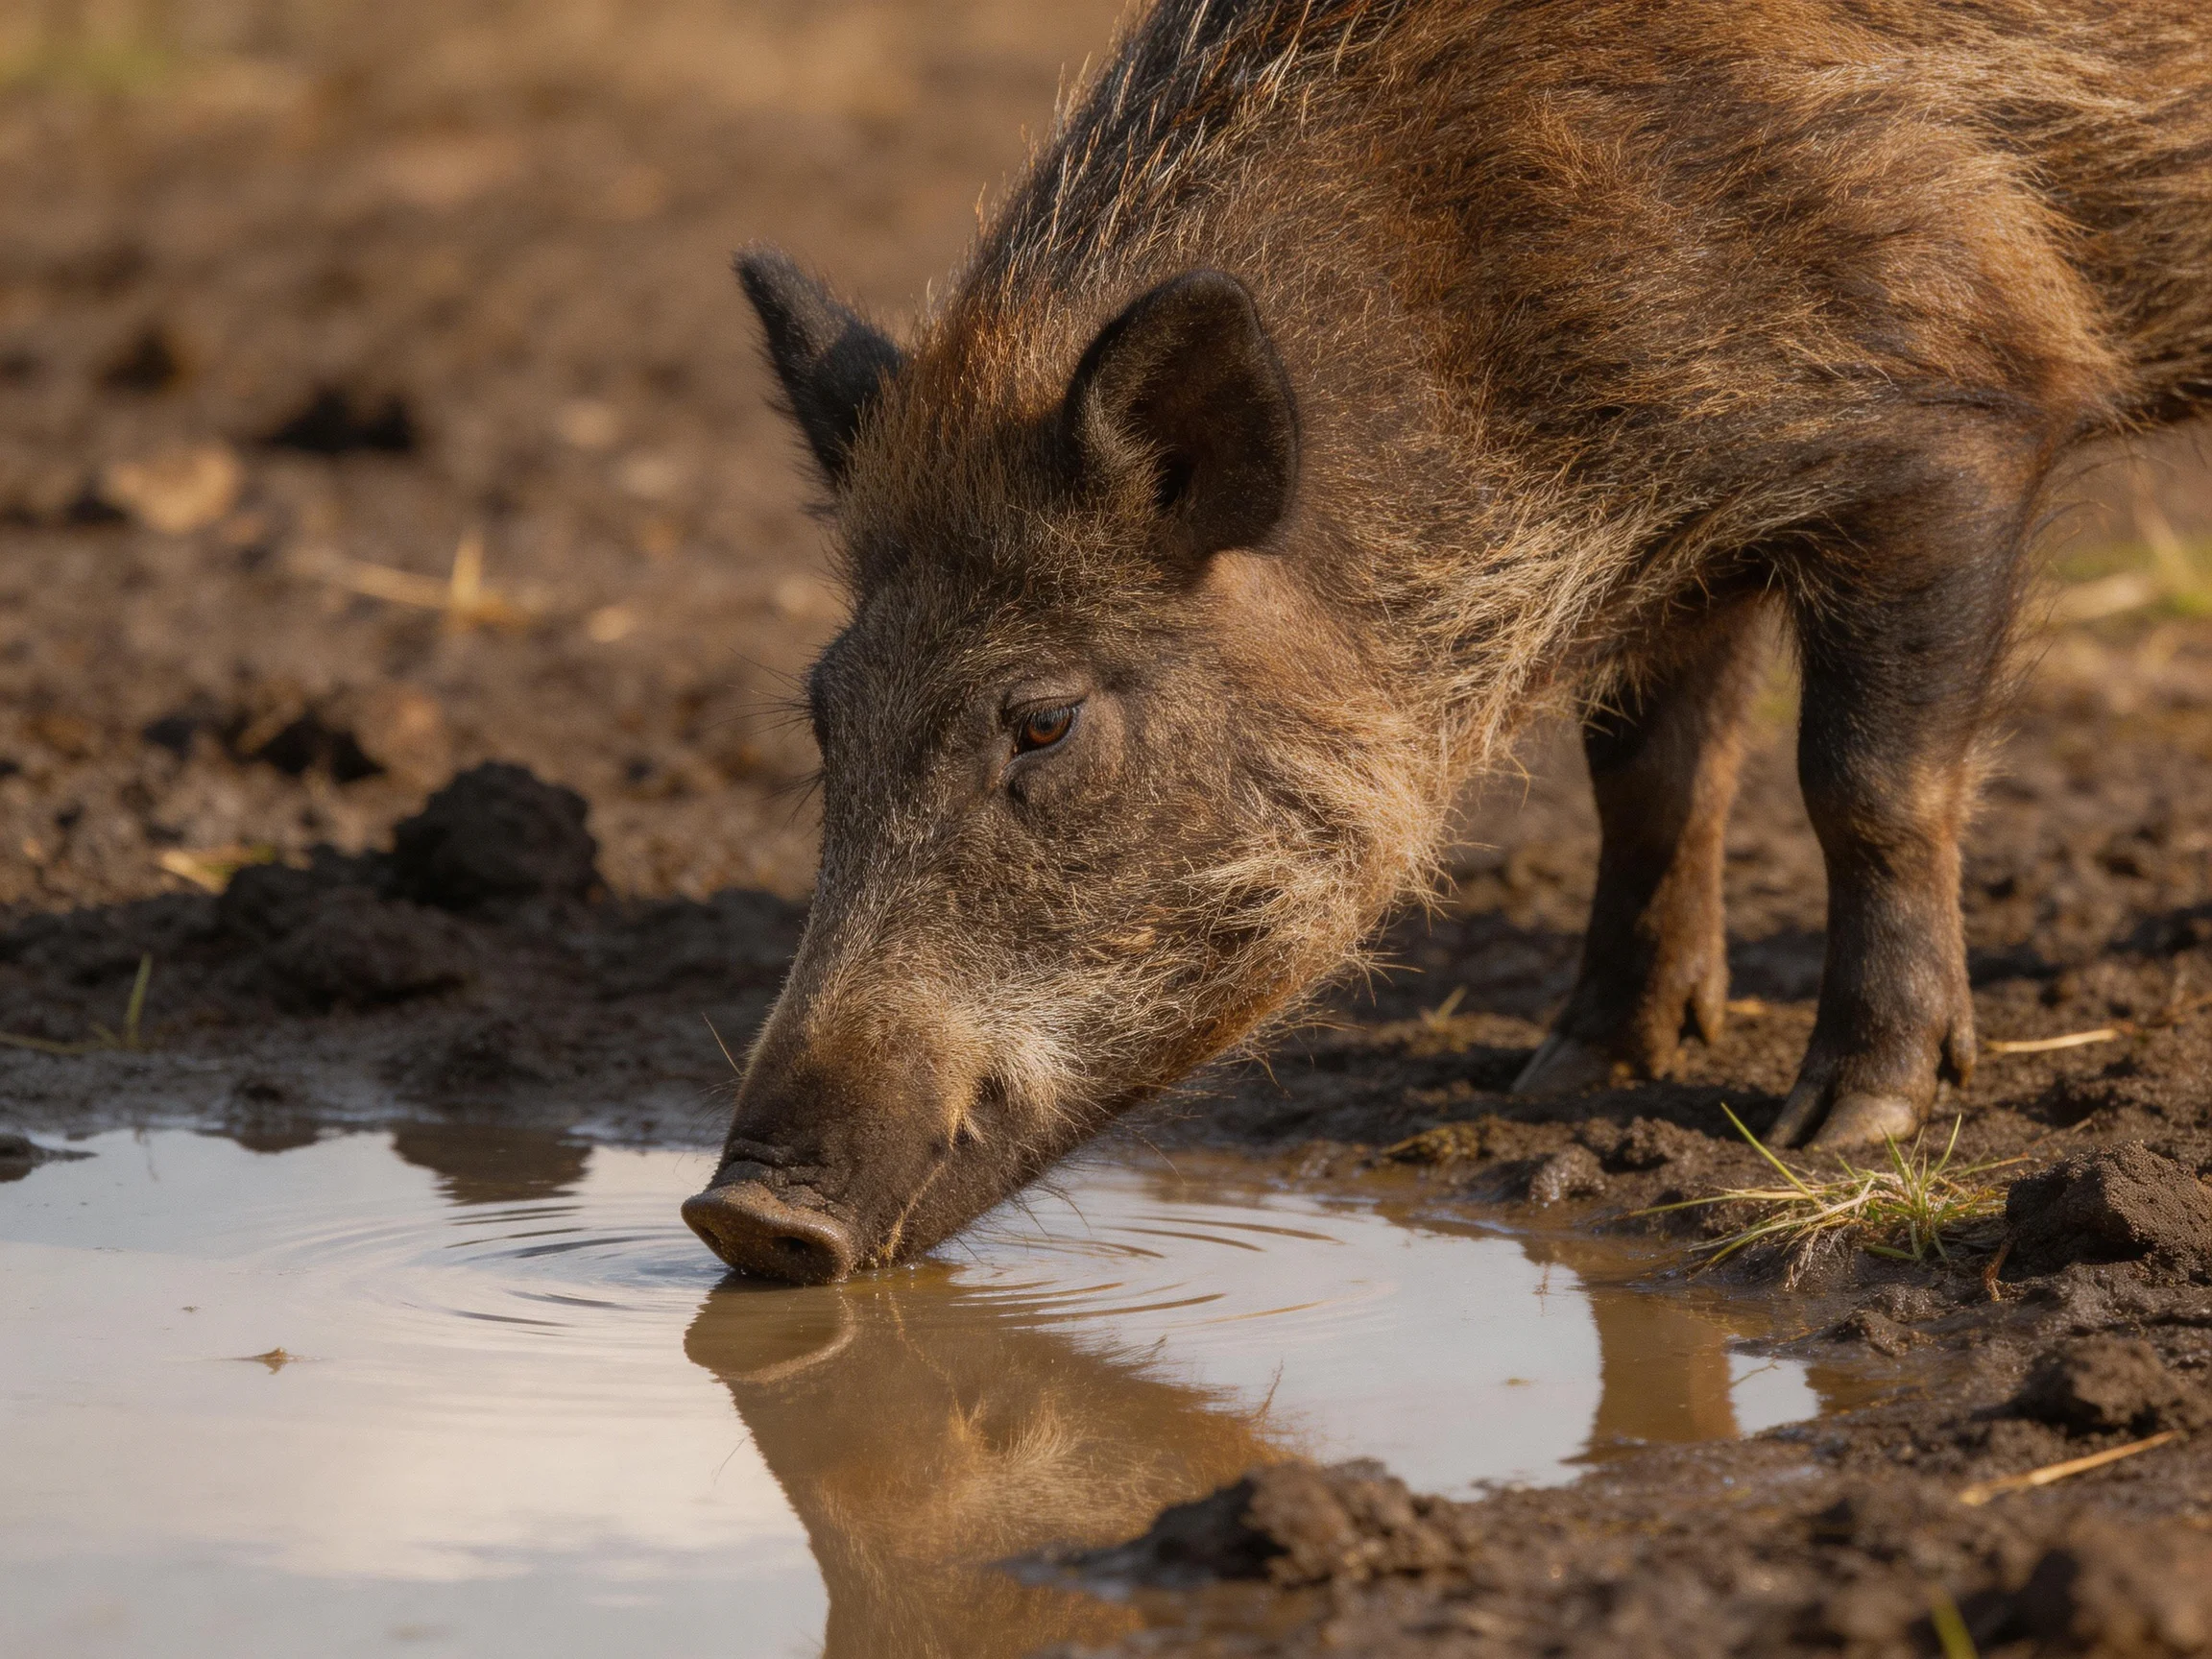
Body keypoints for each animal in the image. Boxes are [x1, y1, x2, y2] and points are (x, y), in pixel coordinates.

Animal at [684, 0, 2212, 1281]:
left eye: (1044, 721)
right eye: (828, 713)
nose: (740, 1214)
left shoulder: (1957, 417)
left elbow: (1867, 783)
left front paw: (1848, 1124)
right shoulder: (1689, 536)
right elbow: (1652, 783)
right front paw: (1572, 1074)